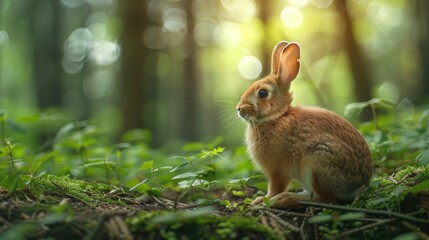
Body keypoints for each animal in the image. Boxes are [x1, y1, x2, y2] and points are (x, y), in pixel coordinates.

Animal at [236, 41, 372, 208]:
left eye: (262, 93)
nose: (239, 109)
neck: (278, 116)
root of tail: (358, 186)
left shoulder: (277, 170)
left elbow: (275, 188)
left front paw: (262, 200)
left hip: (316, 162)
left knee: (326, 199)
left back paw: (285, 199)